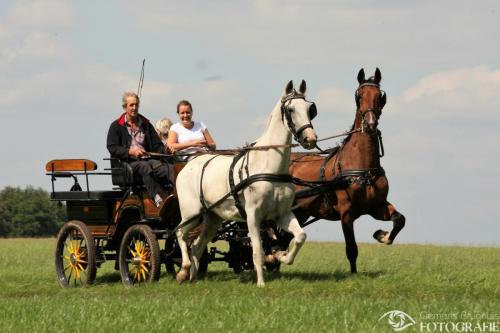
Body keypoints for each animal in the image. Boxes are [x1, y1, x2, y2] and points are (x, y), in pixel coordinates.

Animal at [174, 80, 318, 286]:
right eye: (290, 109)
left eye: (310, 109)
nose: (310, 139)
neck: (269, 166)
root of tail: (189, 164)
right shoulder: (253, 215)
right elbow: (257, 251)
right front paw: (261, 283)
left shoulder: (282, 213)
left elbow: (300, 236)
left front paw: (282, 256)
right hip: (191, 213)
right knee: (180, 233)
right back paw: (183, 271)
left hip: (212, 218)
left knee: (196, 246)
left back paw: (193, 278)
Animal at [290, 68, 406, 272]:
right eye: (359, 95)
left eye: (380, 95)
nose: (370, 124)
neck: (363, 171)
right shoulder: (346, 214)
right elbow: (351, 248)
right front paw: (353, 274)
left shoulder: (377, 206)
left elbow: (400, 219)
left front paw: (382, 235)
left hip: (301, 212)